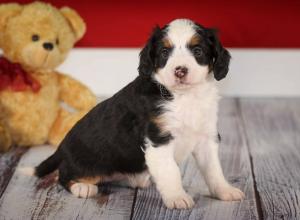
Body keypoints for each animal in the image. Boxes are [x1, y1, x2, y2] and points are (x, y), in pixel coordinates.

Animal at [22, 18, 244, 208]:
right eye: (164, 52)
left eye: (197, 50)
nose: (180, 71)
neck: (184, 97)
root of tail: (62, 147)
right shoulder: (158, 139)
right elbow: (171, 171)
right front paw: (177, 197)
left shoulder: (206, 136)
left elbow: (214, 170)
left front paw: (225, 191)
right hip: (87, 163)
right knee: (64, 175)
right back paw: (82, 187)